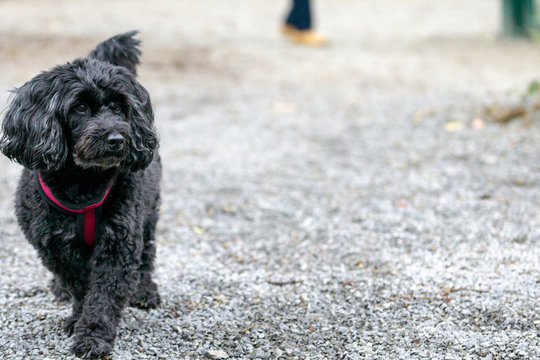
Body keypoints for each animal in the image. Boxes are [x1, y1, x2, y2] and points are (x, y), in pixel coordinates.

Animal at [1, 32, 160, 358]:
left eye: (119, 106)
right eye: (81, 108)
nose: (116, 138)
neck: (83, 182)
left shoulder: (119, 243)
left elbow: (103, 296)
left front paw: (93, 337)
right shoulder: (55, 244)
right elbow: (80, 285)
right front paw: (77, 316)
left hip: (149, 213)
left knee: (147, 253)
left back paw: (145, 289)